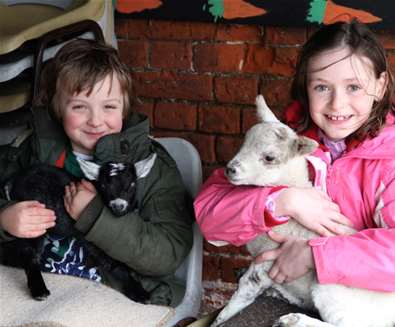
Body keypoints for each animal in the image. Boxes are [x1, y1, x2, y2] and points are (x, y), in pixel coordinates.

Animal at [0, 163, 150, 304]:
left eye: (132, 184)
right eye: (104, 185)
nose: (119, 207)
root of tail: (13, 180)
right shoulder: (96, 239)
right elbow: (116, 265)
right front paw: (140, 294)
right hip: (35, 220)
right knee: (29, 254)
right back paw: (40, 291)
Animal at [212, 95, 395, 327]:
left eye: (269, 157)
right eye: (243, 143)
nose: (230, 169)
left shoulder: (267, 261)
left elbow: (244, 289)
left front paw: (220, 319)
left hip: (334, 290)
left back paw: (295, 320)